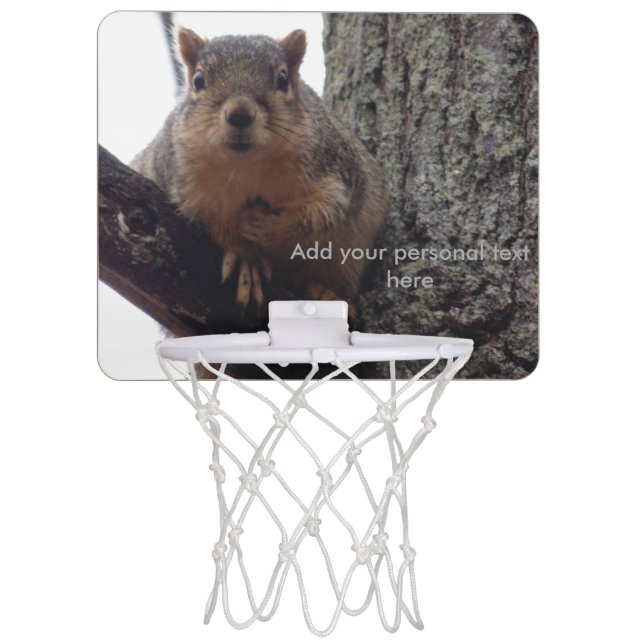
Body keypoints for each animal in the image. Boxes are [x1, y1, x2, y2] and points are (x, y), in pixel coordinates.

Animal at [131, 27, 387, 308]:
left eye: (283, 79)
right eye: (198, 80)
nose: (240, 114)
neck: (246, 166)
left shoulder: (336, 172)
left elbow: (323, 212)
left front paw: (267, 227)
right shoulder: (185, 185)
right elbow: (212, 222)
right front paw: (246, 258)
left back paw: (325, 293)